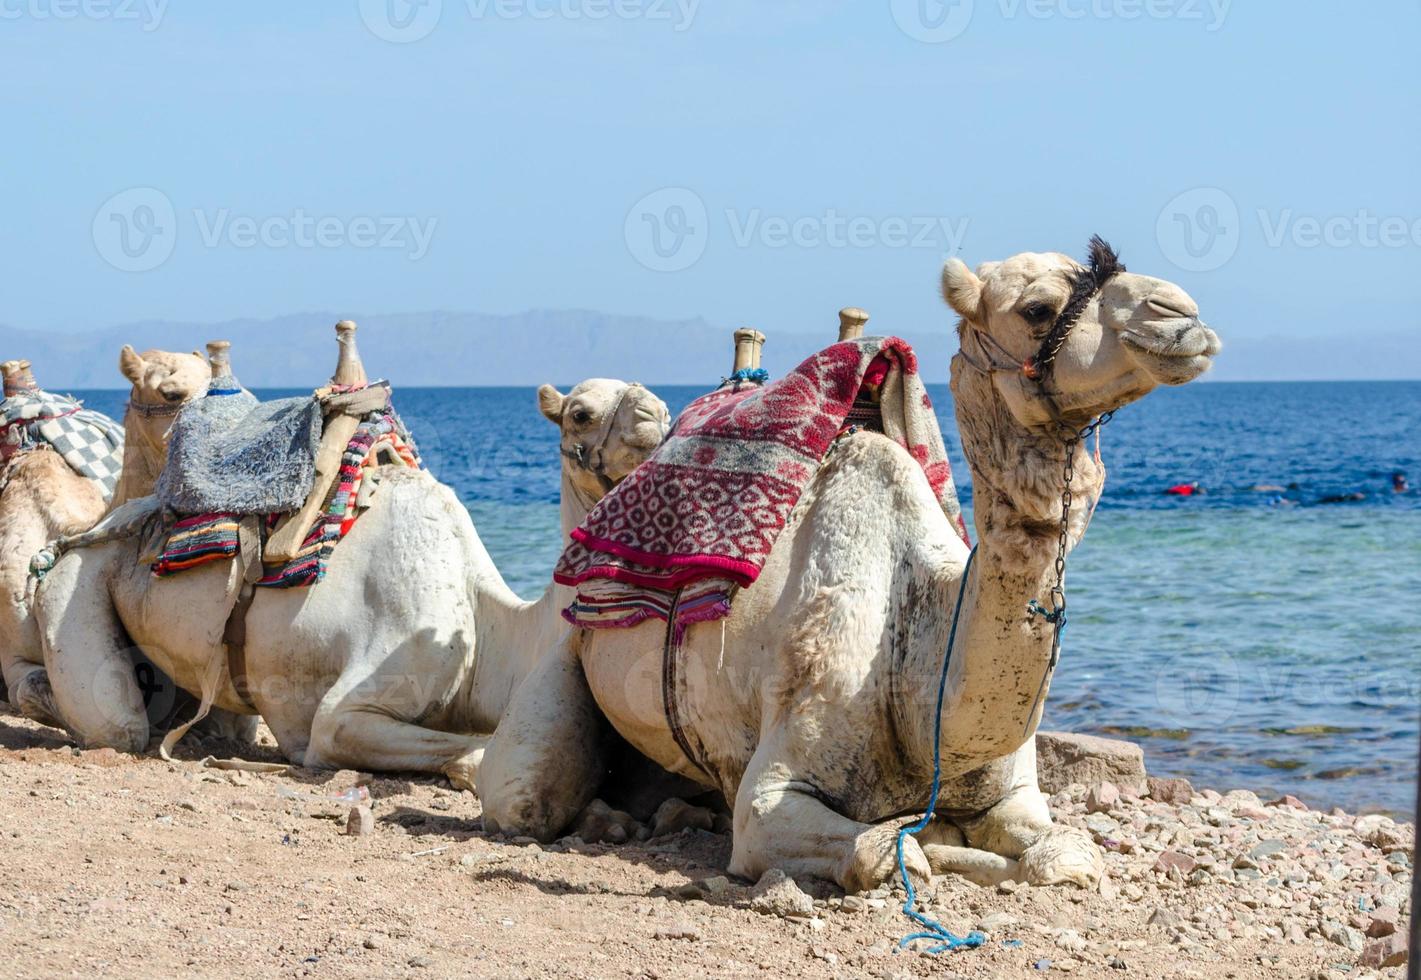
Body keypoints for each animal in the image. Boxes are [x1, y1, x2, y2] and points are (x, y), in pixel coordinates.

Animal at [36, 323, 667, 789]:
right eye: (581, 412)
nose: (656, 414)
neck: (493, 630)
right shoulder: (343, 714)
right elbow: (470, 754)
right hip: (74, 581)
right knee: (117, 725)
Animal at [474, 240, 1222, 891]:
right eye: (1037, 308)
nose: (1180, 312)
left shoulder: (1013, 793)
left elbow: (1065, 854)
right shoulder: (774, 791)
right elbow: (885, 852)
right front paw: (932, 846)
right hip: (566, 660)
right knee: (523, 794)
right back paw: (608, 819)